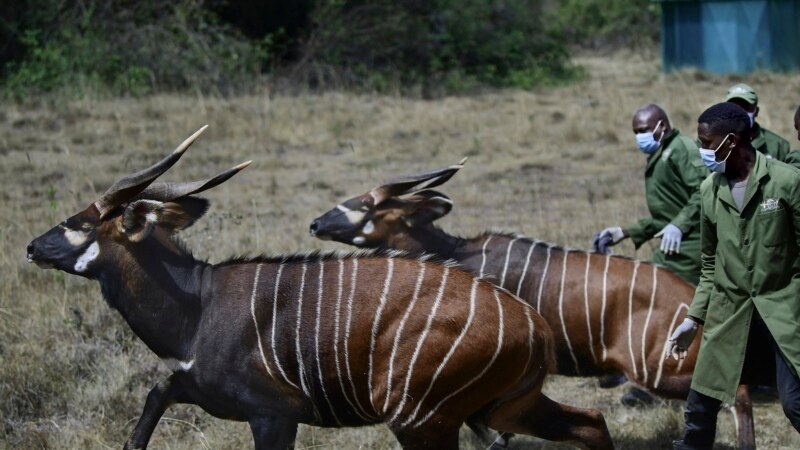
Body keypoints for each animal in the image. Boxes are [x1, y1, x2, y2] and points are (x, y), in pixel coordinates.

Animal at [25, 127, 612, 450]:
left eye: (77, 222)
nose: (31, 247)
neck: (197, 307)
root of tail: (534, 327)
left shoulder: (274, 417)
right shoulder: (192, 387)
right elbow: (151, 402)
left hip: (424, 421)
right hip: (499, 407)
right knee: (592, 423)